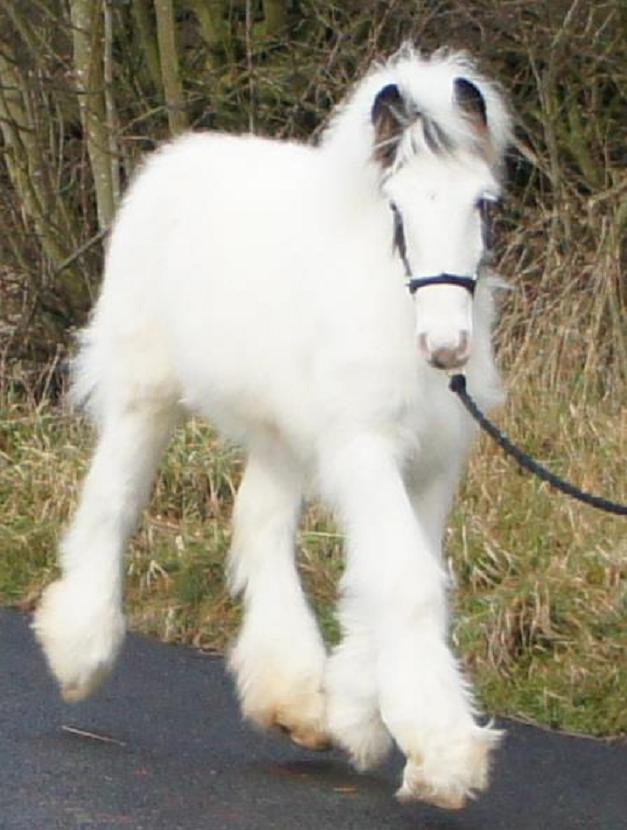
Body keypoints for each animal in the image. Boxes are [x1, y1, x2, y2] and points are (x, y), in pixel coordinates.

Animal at [33, 45, 510, 812]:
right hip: (146, 393)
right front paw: (443, 757)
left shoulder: (432, 460)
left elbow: (396, 573)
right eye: (397, 208)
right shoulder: (363, 445)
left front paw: (359, 716)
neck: (391, 304)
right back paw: (82, 652)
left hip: (281, 435)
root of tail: (178, 158)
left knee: (257, 525)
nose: (446, 347)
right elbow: (404, 579)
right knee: (112, 503)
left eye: (484, 204)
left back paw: (295, 702)